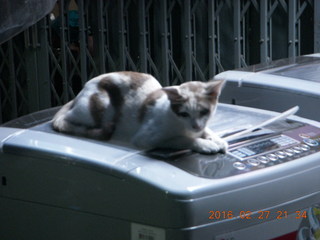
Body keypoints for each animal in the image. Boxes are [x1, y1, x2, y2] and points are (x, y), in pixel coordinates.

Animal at [52, 71, 228, 154]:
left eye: (204, 112)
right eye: (184, 114)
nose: (195, 126)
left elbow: (207, 130)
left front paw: (216, 139)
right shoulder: (145, 138)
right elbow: (181, 139)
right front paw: (205, 144)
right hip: (98, 106)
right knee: (67, 120)